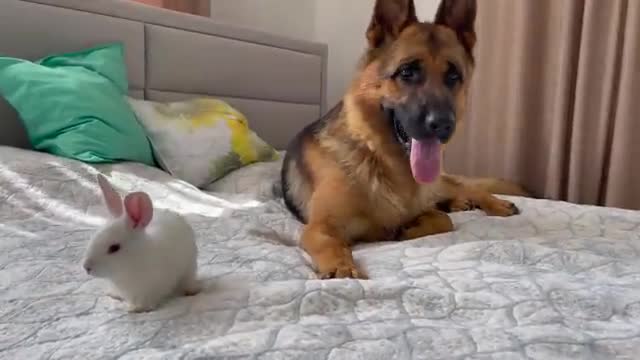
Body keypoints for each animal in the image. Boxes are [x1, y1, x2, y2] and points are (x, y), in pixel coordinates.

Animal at [82, 174, 200, 312]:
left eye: (114, 248)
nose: (86, 267)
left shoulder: (148, 290)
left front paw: (135, 309)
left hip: (190, 267)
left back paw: (191, 291)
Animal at [282, 0, 528, 278]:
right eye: (407, 72)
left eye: (453, 76)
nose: (443, 124)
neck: (379, 158)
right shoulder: (320, 227)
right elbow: (330, 243)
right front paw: (341, 267)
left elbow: (441, 219)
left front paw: (408, 227)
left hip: (439, 184)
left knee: (468, 188)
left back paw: (491, 203)